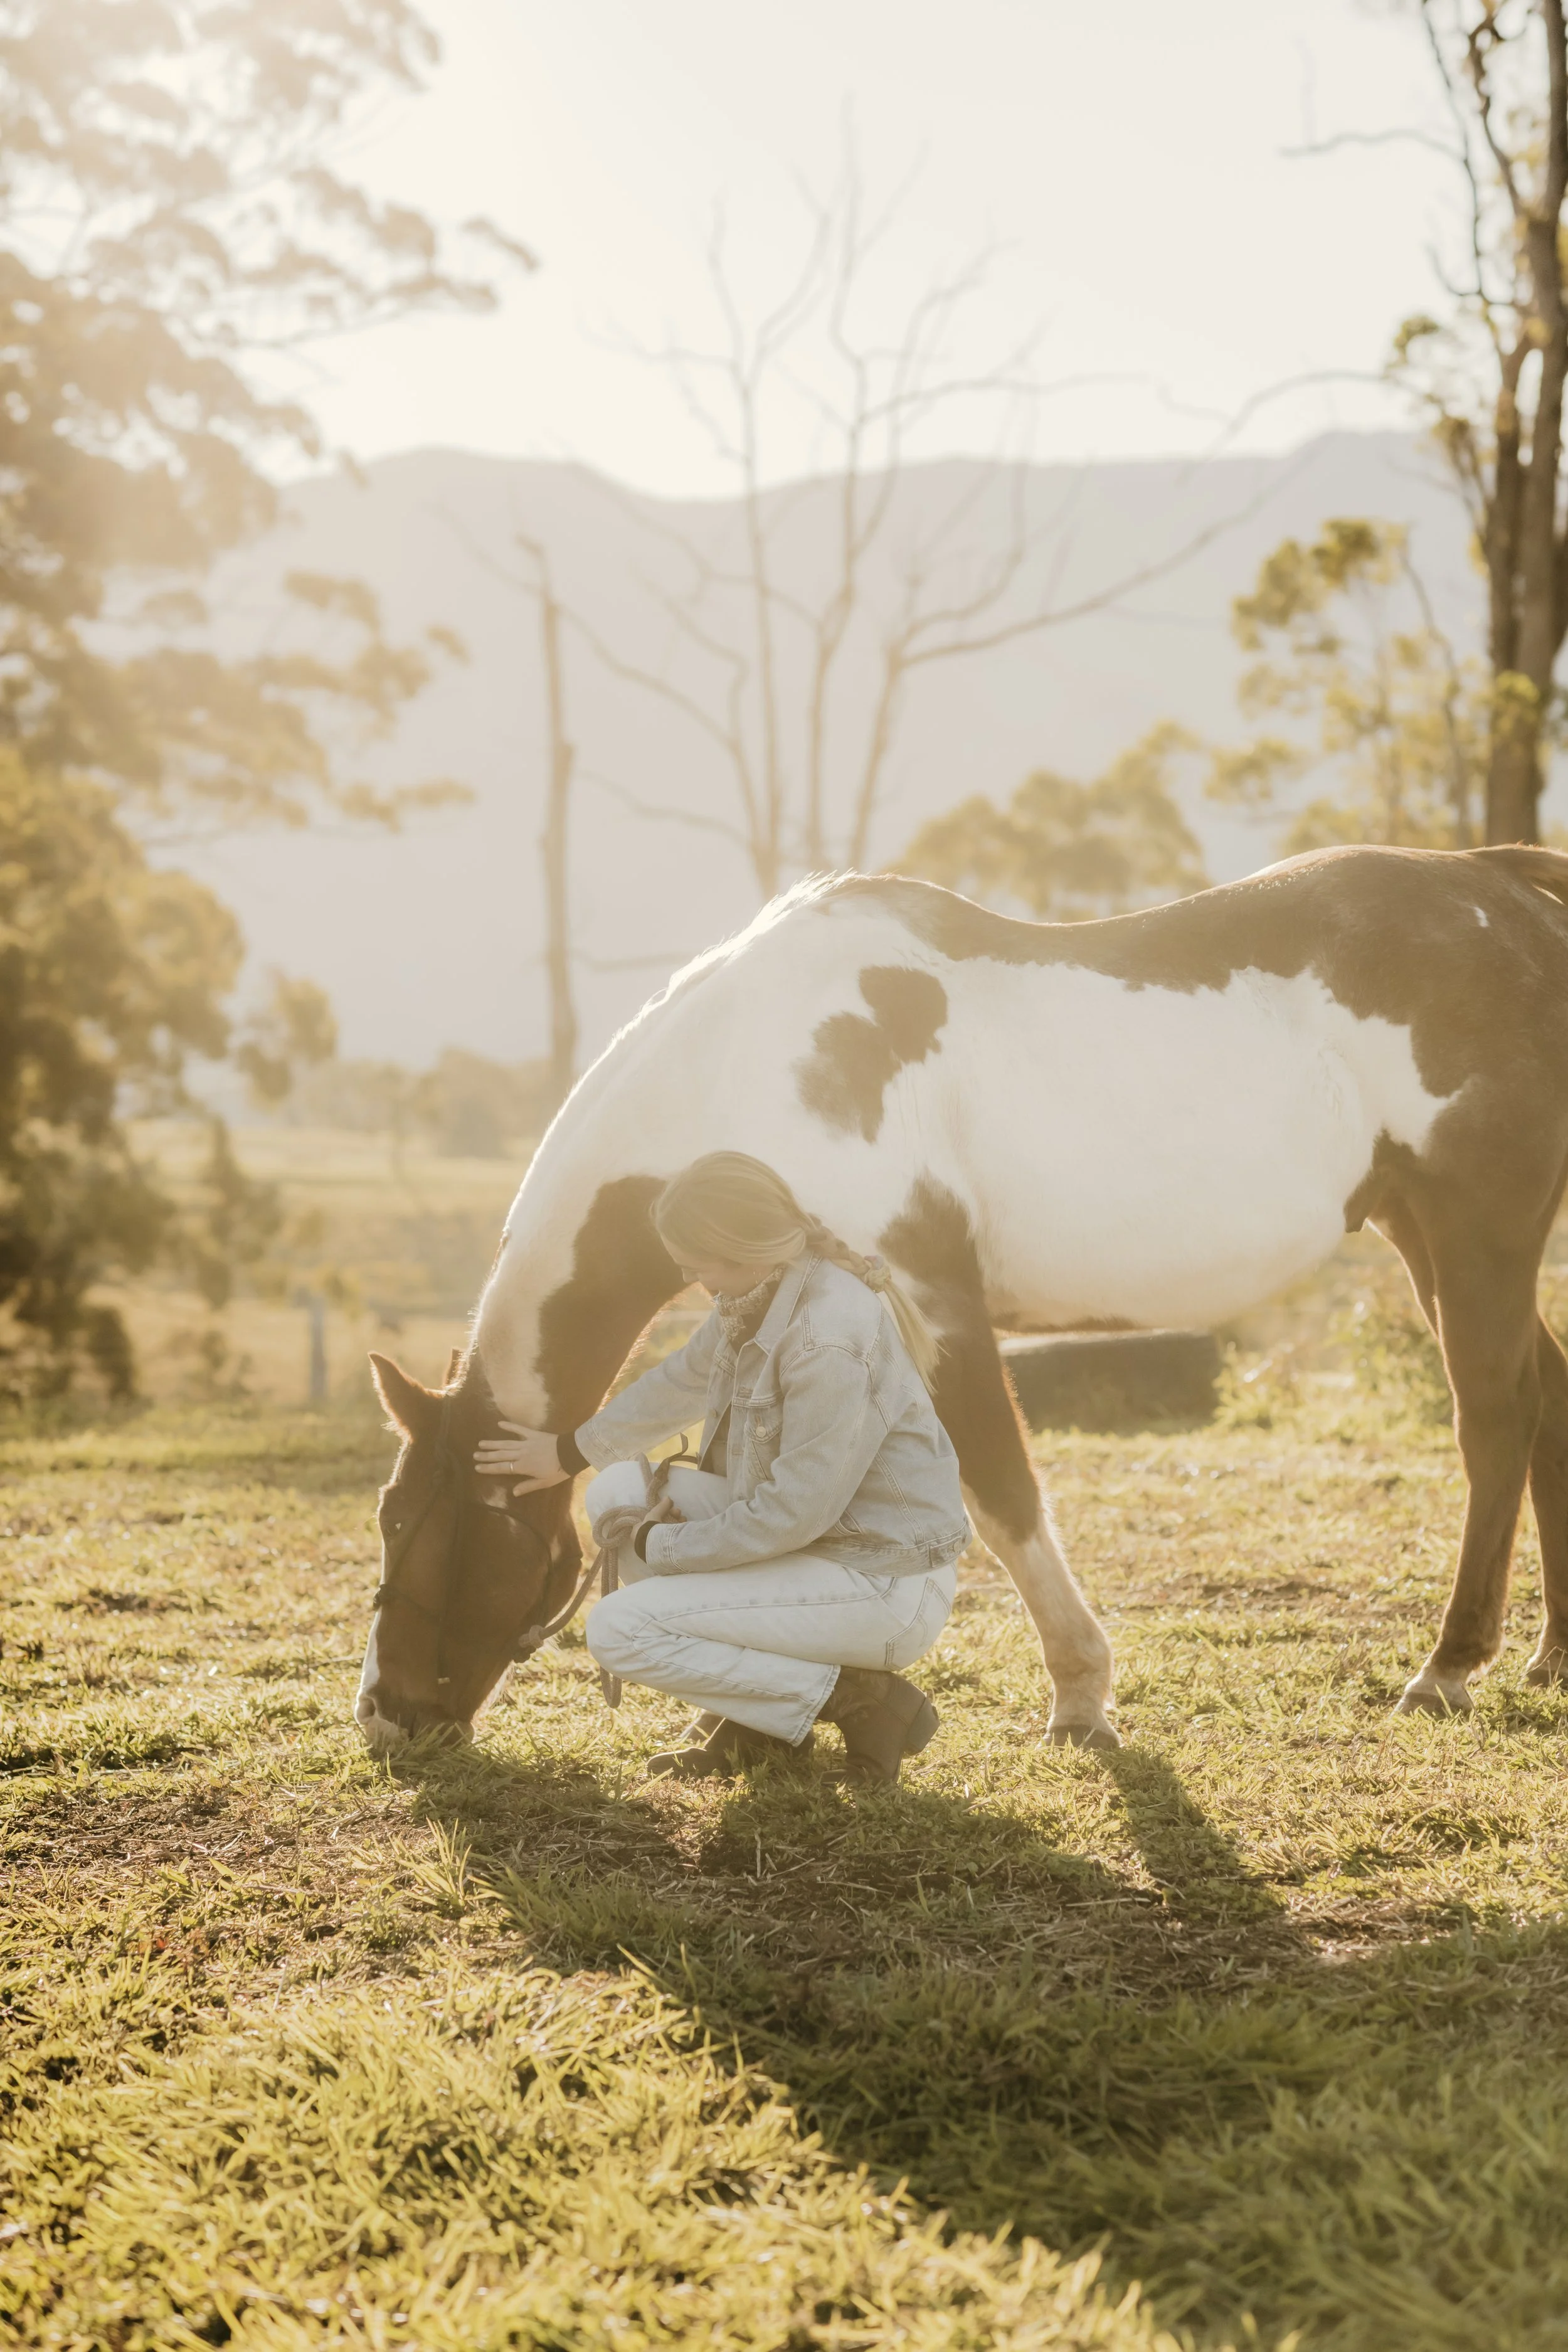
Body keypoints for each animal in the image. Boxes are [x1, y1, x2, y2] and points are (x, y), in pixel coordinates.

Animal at [356, 841, 1568, 1756]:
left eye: (437, 1533)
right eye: (388, 1520)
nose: (386, 1718)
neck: (755, 1065)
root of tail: (1498, 887)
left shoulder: (930, 1298)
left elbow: (1000, 1492)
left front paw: (1080, 1697)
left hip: (1476, 1234)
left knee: (1496, 1419)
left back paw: (1448, 1669)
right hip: (1431, 1234)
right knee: (1545, 1401)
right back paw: (1549, 1659)